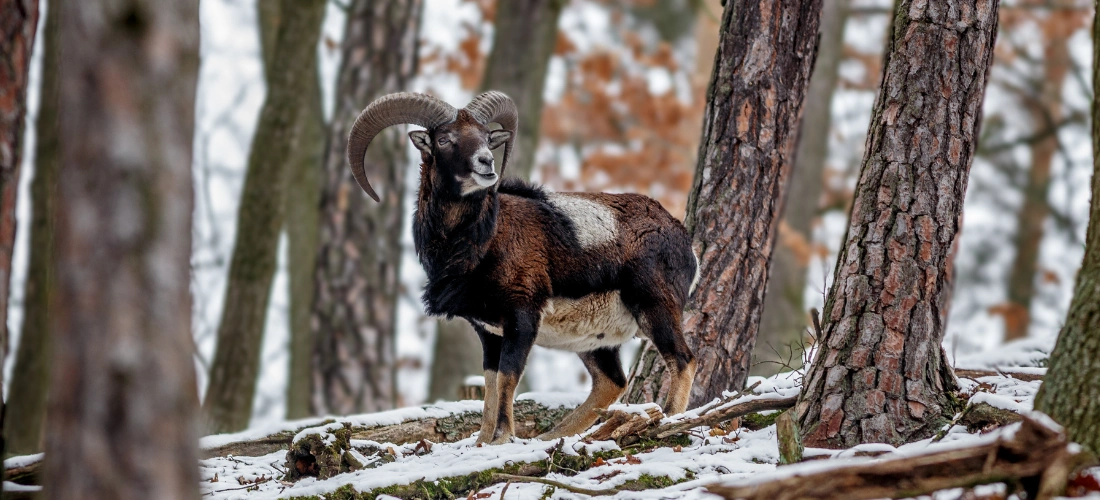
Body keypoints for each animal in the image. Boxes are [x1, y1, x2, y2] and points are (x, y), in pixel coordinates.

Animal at [346, 91, 698, 445]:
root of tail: (681, 236)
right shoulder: (489, 332)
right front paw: (483, 441)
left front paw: (503, 438)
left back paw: (667, 420)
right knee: (611, 382)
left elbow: (508, 378)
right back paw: (552, 437)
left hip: (655, 307)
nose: (486, 162)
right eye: (444, 139)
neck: (481, 241)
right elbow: (490, 385)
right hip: (597, 342)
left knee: (684, 360)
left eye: (486, 137)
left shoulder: (522, 318)